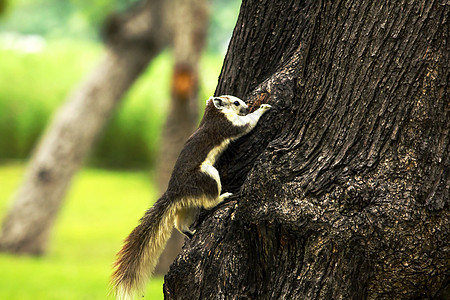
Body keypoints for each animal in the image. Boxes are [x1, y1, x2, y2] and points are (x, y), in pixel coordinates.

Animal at [110, 95, 270, 298]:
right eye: (235, 102)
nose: (247, 106)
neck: (213, 114)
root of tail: (175, 193)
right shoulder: (228, 124)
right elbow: (247, 124)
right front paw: (262, 108)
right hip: (207, 176)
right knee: (209, 203)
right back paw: (222, 197)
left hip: (189, 205)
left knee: (180, 223)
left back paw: (190, 231)